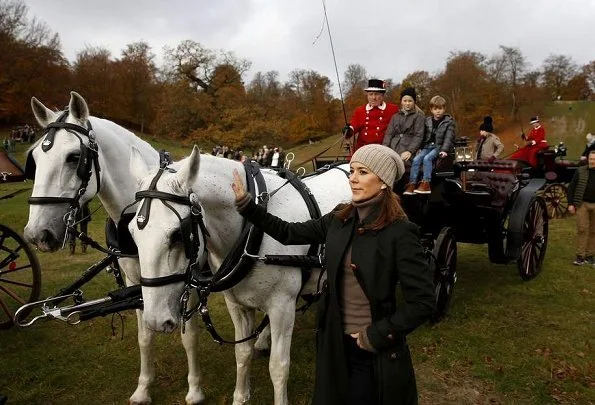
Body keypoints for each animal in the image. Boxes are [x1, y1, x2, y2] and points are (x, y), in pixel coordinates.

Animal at [22, 91, 207, 404]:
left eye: (74, 158)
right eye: (35, 157)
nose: (37, 234)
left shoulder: (188, 280)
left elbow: (189, 336)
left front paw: (194, 389)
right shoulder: (137, 282)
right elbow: (145, 336)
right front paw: (143, 388)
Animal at [129, 147, 354, 404]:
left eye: (177, 235)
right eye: (131, 232)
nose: (154, 321)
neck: (253, 229)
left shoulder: (282, 307)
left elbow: (278, 367)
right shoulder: (237, 306)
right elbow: (242, 353)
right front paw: (240, 396)